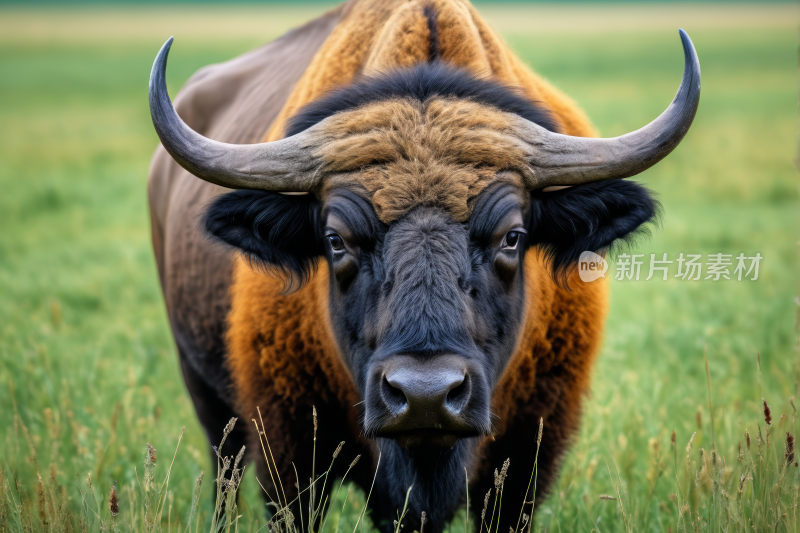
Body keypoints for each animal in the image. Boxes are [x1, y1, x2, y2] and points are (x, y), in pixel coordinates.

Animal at [147, 2, 696, 528]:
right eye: (335, 240)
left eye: (513, 237)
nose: (425, 395)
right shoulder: (289, 455)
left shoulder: (525, 460)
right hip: (208, 400)